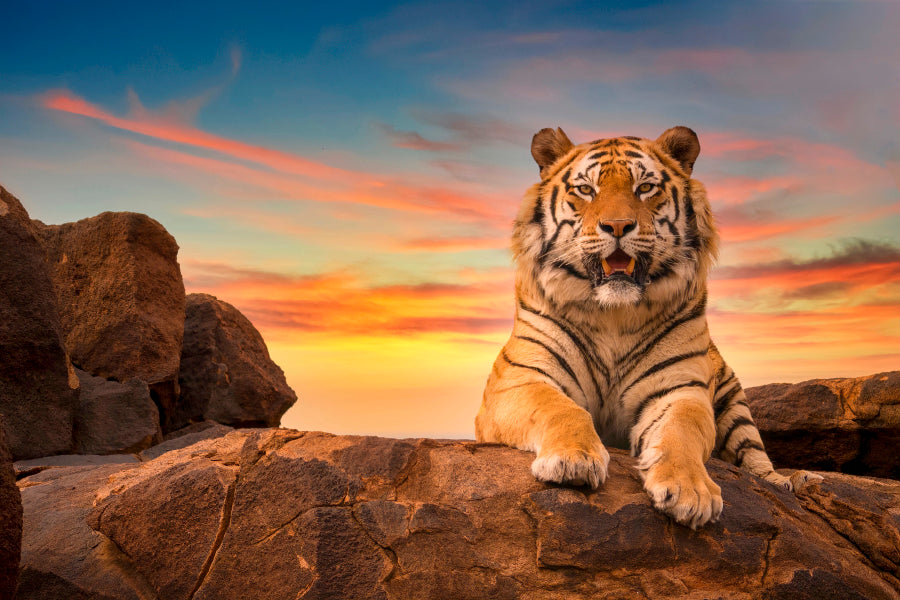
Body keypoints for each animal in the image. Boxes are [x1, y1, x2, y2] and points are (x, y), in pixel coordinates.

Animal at [475, 126, 821, 529]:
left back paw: (793, 482)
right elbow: (561, 409)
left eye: (645, 188)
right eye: (586, 189)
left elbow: (682, 431)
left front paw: (690, 492)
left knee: (758, 462)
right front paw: (573, 460)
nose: (618, 226)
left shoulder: (680, 390)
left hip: (736, 407)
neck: (613, 315)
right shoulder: (519, 379)